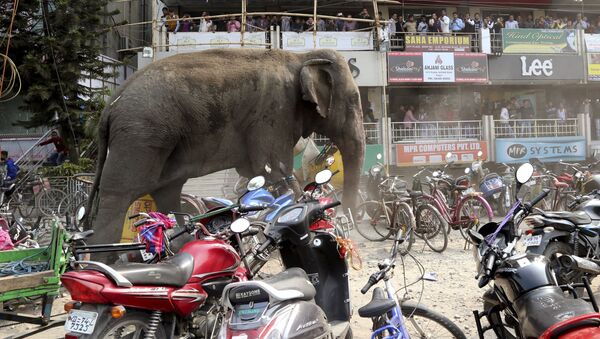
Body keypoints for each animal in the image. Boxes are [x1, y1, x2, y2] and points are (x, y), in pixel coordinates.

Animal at [84, 47, 366, 255]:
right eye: (354, 99)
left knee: (167, 191)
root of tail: (110, 105)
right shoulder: (273, 112)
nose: (349, 223)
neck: (300, 57)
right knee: (118, 195)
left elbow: (258, 172)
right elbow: (274, 168)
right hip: (139, 136)